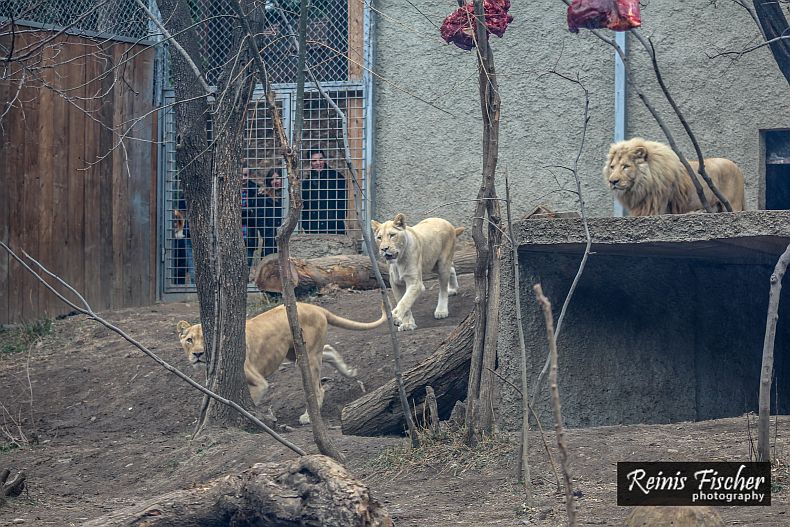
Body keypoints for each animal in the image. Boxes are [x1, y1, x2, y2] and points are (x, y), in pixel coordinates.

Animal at [176, 303, 386, 425]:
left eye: (205, 340)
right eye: (189, 340)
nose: (197, 354)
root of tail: (316, 307)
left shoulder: (259, 382)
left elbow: (251, 401)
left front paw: (257, 417)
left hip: (306, 357)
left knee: (318, 388)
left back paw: (308, 417)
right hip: (296, 352)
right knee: (328, 351)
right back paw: (350, 371)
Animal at [604, 138, 745, 216]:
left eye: (626, 166)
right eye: (612, 167)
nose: (612, 181)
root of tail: (737, 167)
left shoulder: (654, 207)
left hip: (733, 204)